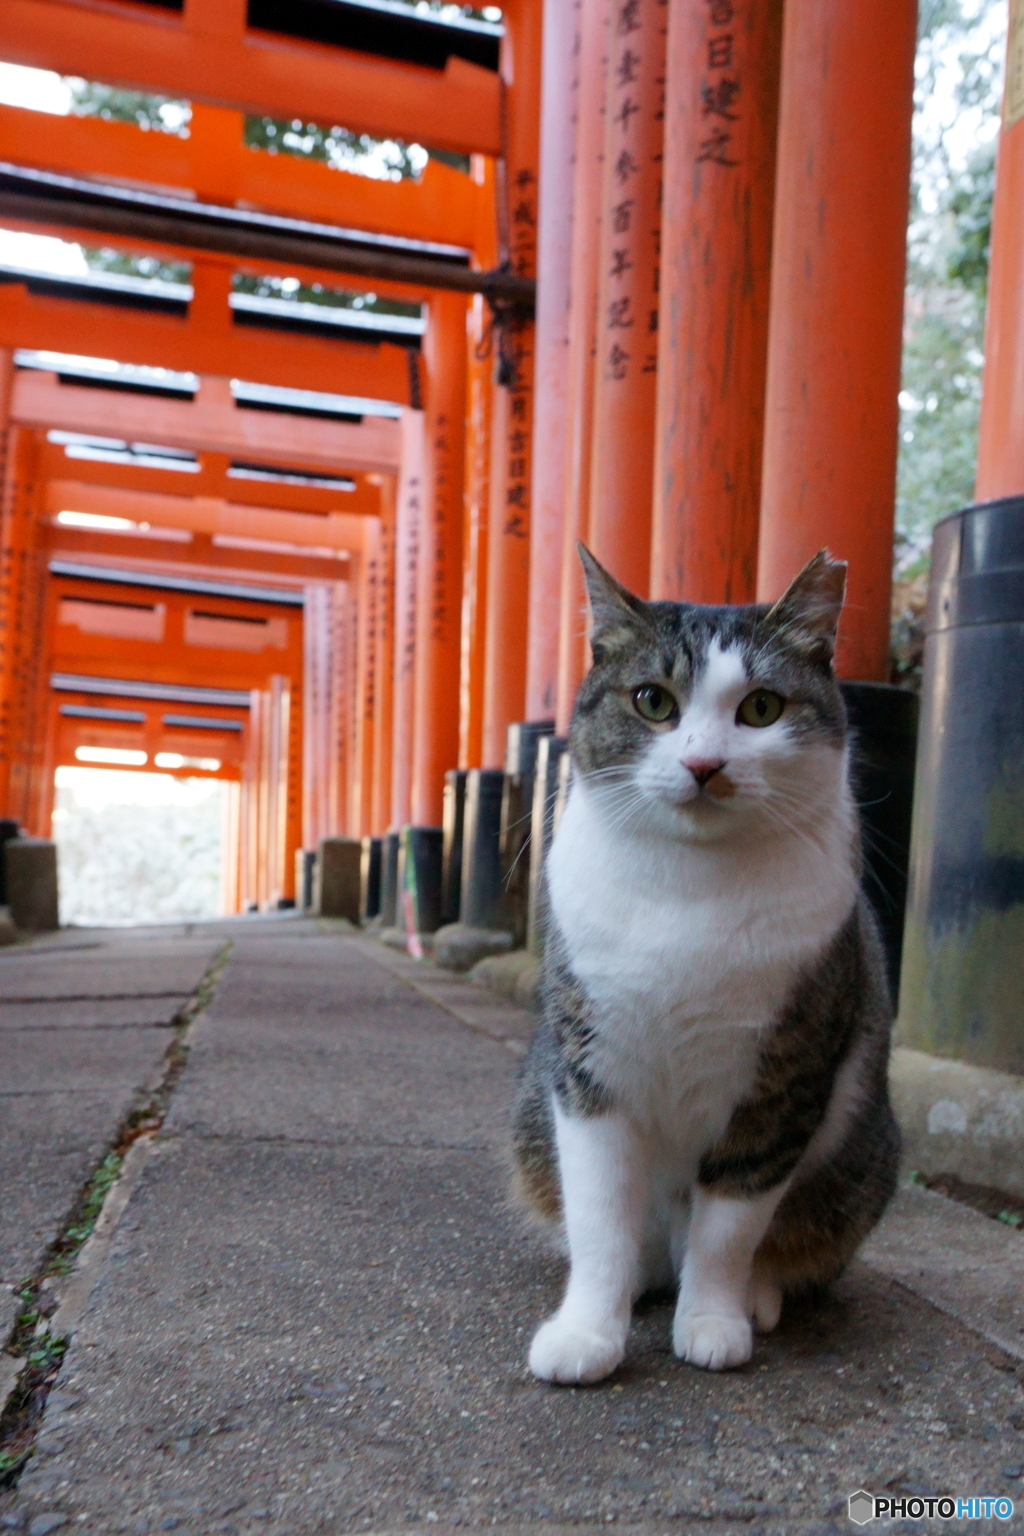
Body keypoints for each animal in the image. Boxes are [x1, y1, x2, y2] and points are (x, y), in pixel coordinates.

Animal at [512, 546, 896, 1388]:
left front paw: (714, 1321)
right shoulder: (589, 1067)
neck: (689, 888)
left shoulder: (781, 1079)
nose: (704, 764)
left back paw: (756, 1295)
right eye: (653, 702)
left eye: (762, 708)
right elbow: (600, 1215)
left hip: (858, 1163)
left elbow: (730, 1224)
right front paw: (588, 1331)